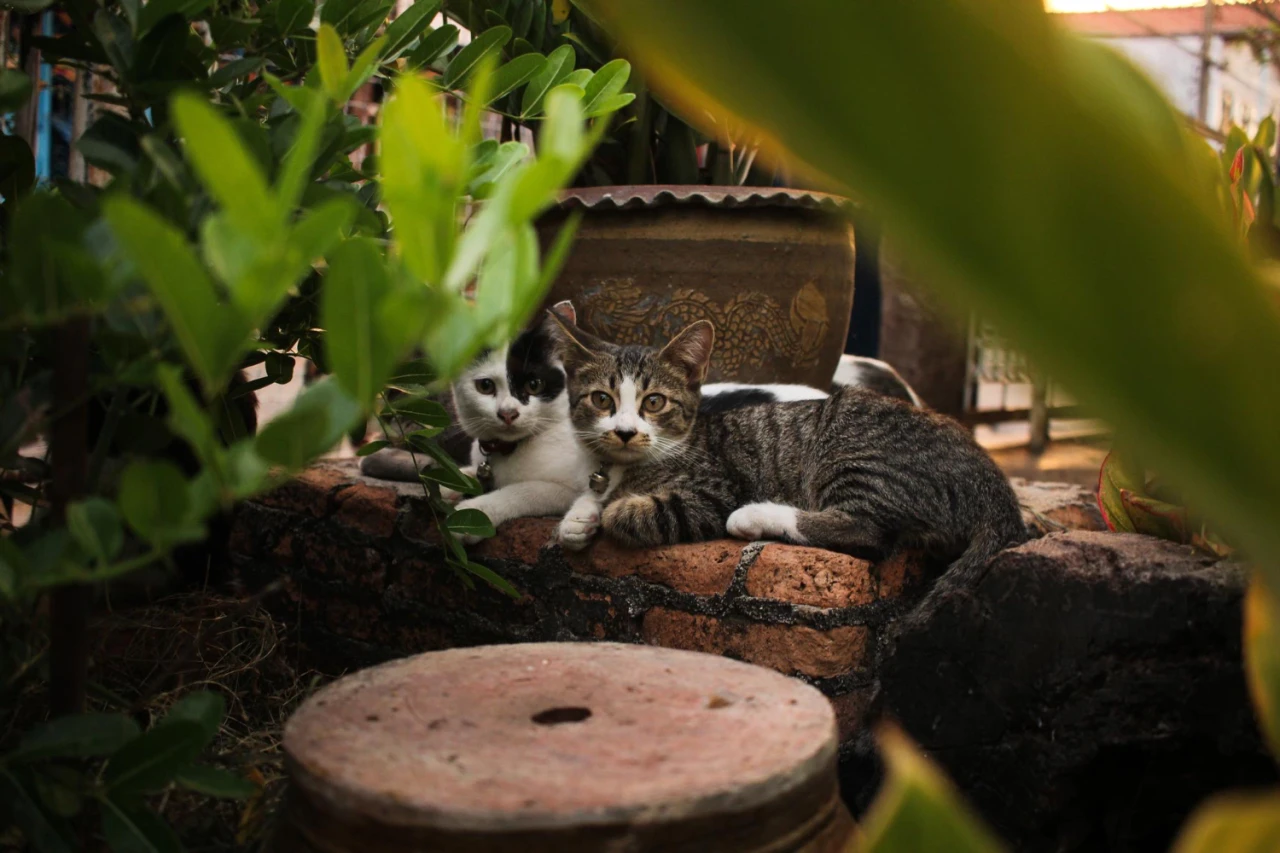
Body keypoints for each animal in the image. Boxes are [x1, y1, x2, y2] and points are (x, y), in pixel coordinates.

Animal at [552, 306, 1029, 578]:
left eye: (653, 402)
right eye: (602, 399)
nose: (625, 431)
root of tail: (994, 487)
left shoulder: (714, 491)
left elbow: (641, 512)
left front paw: (612, 511)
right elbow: (591, 497)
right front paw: (578, 518)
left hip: (858, 456)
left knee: (865, 532)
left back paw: (756, 516)